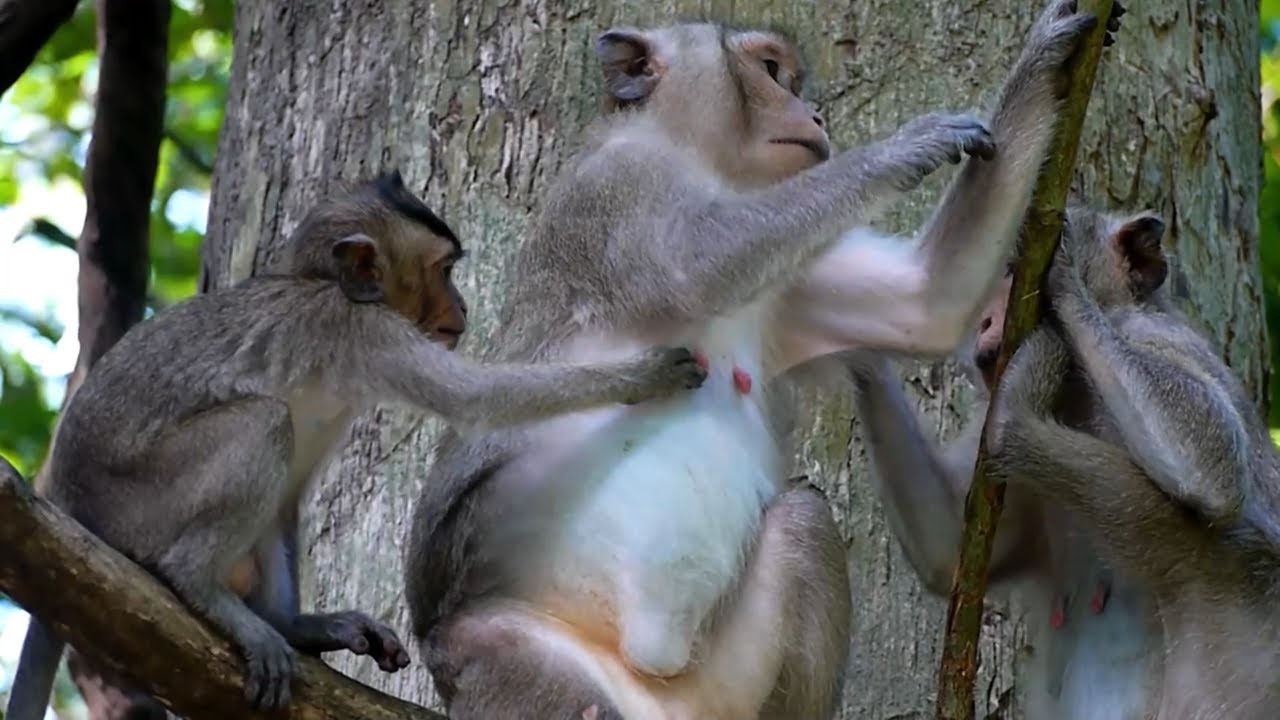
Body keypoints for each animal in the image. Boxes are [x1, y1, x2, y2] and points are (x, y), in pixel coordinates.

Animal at [3, 170, 709, 720]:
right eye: (444, 270)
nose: (461, 308)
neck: (323, 283)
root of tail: (69, 504)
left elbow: (293, 495)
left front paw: (300, 626)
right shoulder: (367, 333)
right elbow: (481, 400)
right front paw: (648, 374)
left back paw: (285, 625)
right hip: (140, 503)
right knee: (264, 423)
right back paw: (198, 584)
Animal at [403, 3, 1120, 718]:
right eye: (772, 72)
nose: (815, 116)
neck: (698, 161)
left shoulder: (788, 286)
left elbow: (927, 303)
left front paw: (1049, 55)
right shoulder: (613, 190)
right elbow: (691, 266)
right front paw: (903, 147)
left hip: (723, 685)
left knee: (803, 520)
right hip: (518, 660)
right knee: (504, 656)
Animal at [850, 203, 1280, 719]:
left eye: (1014, 272)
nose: (985, 320)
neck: (1076, 388)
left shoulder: (1158, 337)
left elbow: (1215, 467)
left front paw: (1065, 278)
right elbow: (945, 551)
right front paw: (856, 338)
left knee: (1231, 543)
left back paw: (1017, 420)